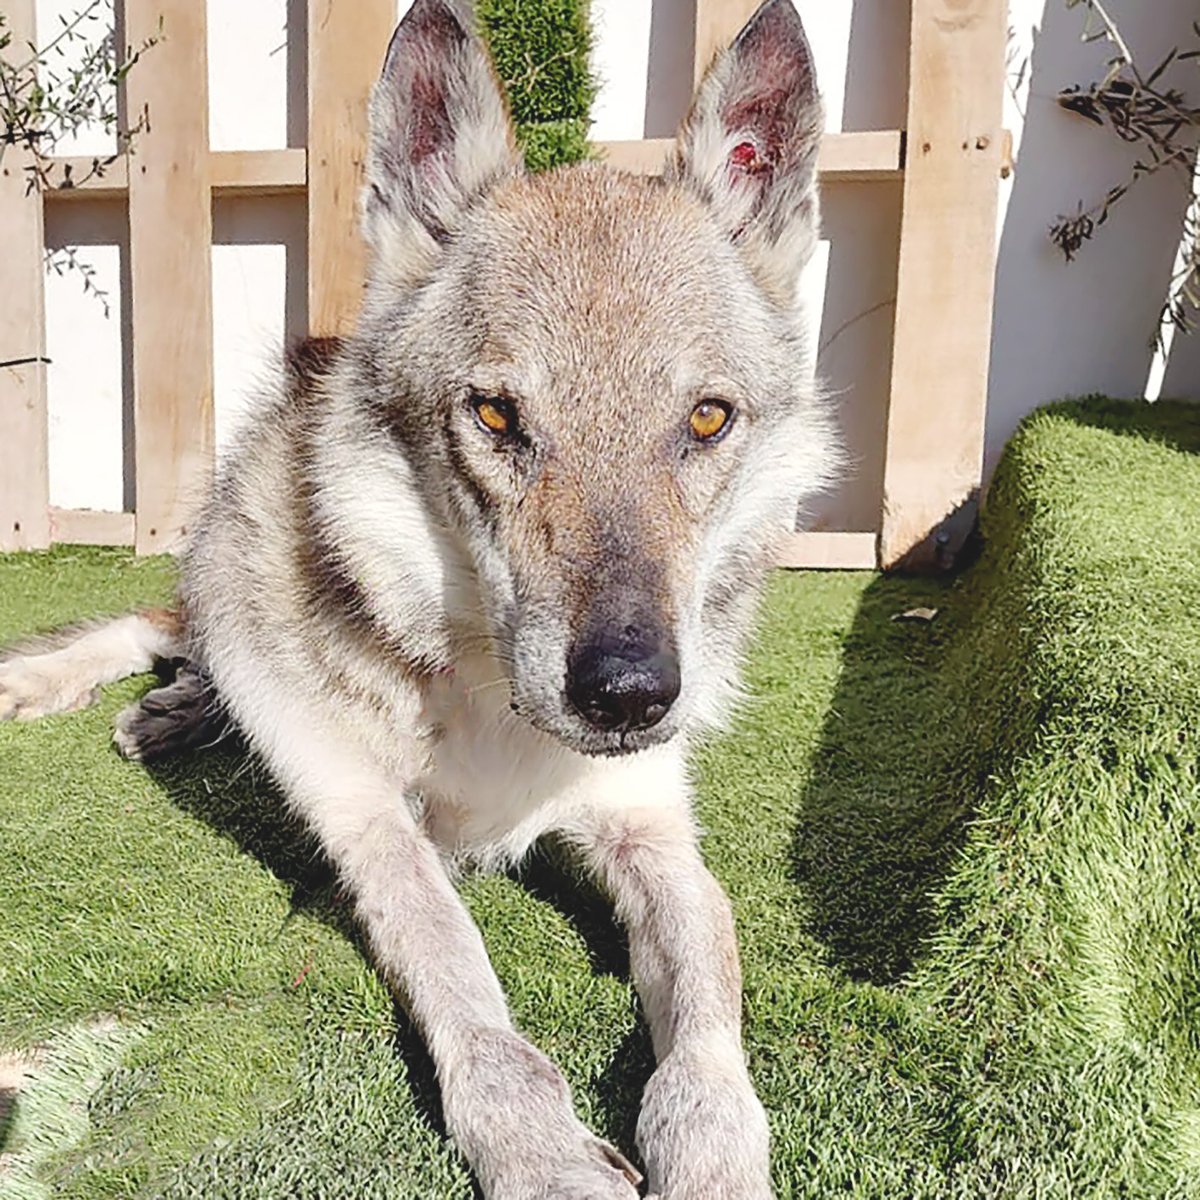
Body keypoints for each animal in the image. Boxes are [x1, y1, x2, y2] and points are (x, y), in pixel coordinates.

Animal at [0, 0, 835, 1194]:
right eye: (495, 415)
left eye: (708, 419)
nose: (629, 694)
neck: (492, 706)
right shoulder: (373, 830)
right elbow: (467, 987)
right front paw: (544, 1155)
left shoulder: (654, 833)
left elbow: (709, 1017)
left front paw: (714, 1153)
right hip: (229, 562)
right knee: (166, 625)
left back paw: (176, 713)